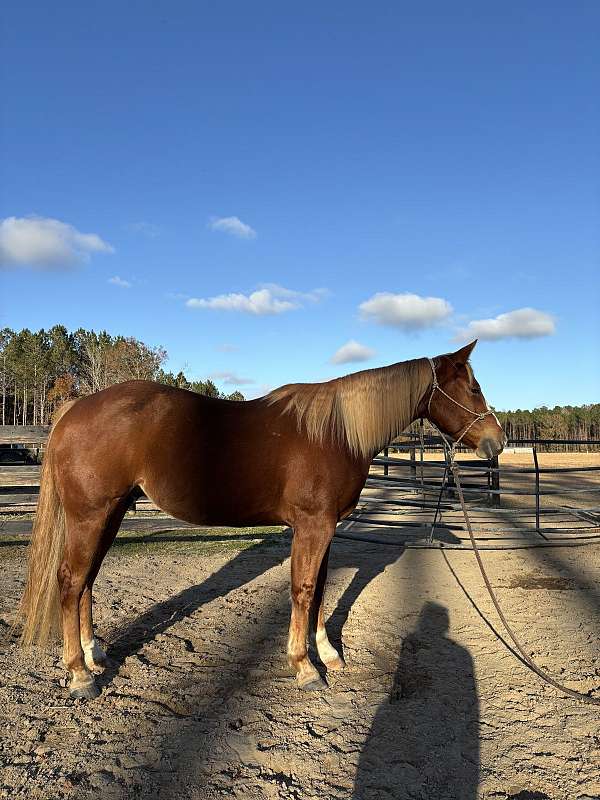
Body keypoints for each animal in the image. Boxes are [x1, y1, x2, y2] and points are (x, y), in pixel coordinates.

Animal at [18, 340, 504, 696]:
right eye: (474, 388)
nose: (496, 441)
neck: (336, 432)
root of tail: (76, 409)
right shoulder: (313, 526)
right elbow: (303, 590)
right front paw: (304, 666)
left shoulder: (326, 528)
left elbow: (320, 589)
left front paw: (327, 653)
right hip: (90, 515)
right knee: (70, 580)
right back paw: (79, 674)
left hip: (111, 513)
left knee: (87, 580)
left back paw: (93, 652)